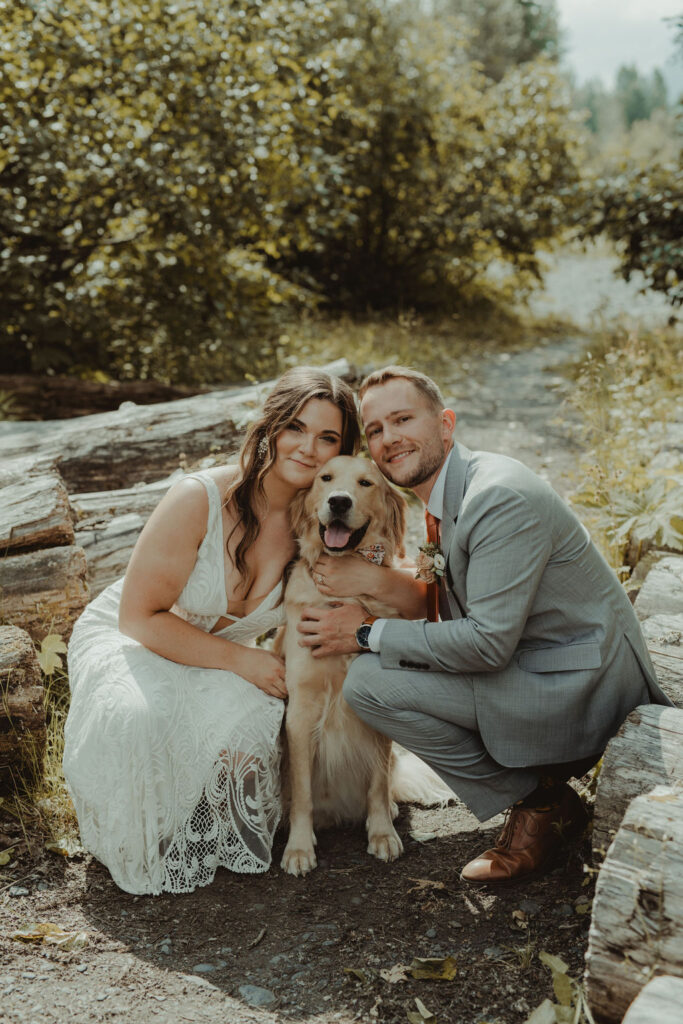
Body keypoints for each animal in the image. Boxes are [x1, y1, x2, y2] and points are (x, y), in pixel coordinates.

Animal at [280, 454, 450, 872]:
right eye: (325, 478)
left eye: (366, 483)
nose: (339, 501)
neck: (343, 596)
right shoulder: (301, 708)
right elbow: (303, 791)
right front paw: (299, 847)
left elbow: (377, 780)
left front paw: (381, 834)